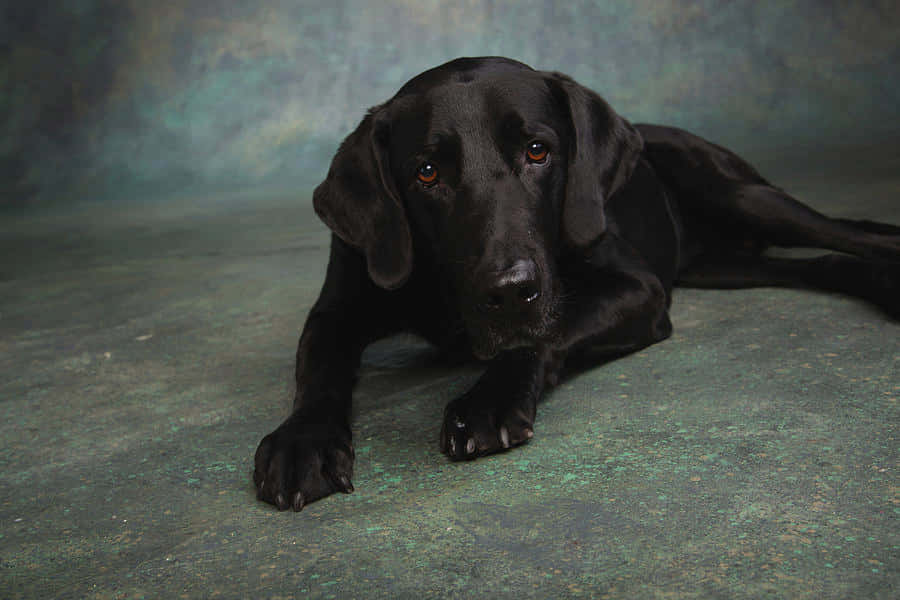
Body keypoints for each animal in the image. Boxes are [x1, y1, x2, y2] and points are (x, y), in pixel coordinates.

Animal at [253, 57, 900, 510]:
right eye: (427, 172)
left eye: (539, 151)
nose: (509, 290)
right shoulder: (337, 308)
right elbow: (318, 368)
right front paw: (302, 442)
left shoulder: (638, 289)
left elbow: (550, 328)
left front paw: (487, 400)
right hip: (724, 267)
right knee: (818, 264)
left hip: (743, 194)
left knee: (852, 231)